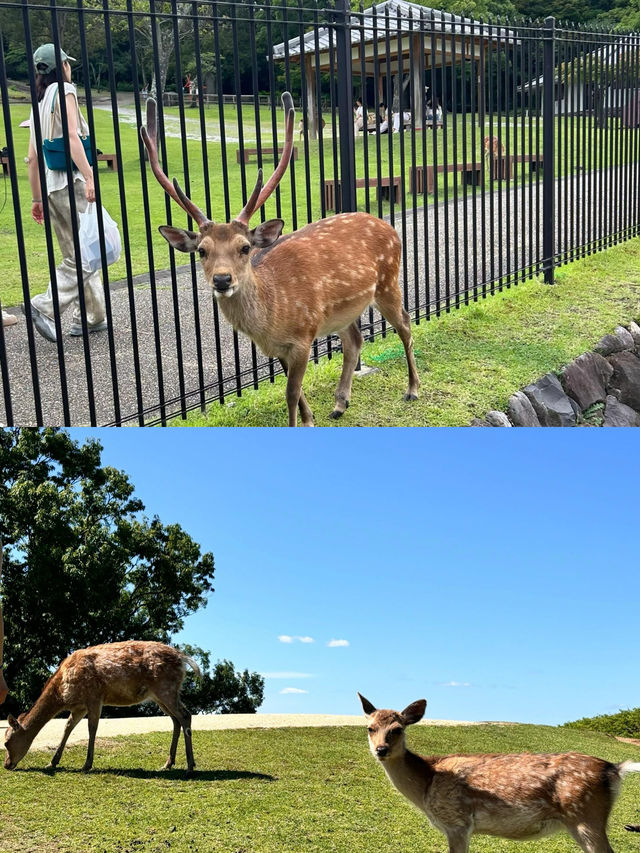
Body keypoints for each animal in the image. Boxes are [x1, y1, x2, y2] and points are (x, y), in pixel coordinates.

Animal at [3, 640, 199, 772]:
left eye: (6, 742)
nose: (6, 764)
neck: (63, 693)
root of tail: (183, 659)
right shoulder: (79, 707)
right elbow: (67, 727)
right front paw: (52, 762)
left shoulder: (94, 697)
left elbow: (92, 728)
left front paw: (86, 764)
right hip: (160, 696)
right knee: (175, 720)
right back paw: (168, 763)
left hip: (166, 689)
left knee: (185, 715)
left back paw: (190, 765)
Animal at [140, 93, 420, 426]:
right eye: (202, 250)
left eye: (245, 248)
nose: (222, 279)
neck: (271, 319)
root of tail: (388, 226)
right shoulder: (277, 348)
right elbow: (296, 391)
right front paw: (311, 419)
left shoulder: (303, 335)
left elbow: (290, 394)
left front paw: (301, 423)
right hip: (344, 310)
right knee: (355, 340)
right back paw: (340, 404)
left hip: (388, 281)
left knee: (405, 324)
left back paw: (412, 389)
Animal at [358, 692, 640, 852]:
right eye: (370, 728)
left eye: (398, 729)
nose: (381, 749)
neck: (426, 784)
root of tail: (614, 769)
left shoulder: (457, 821)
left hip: (586, 814)